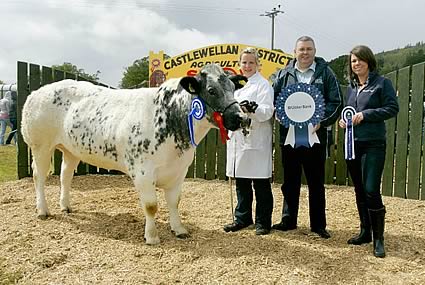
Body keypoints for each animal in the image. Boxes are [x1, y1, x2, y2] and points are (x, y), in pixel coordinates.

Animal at [21, 64, 248, 244]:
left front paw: (179, 229)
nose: (241, 118)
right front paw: (152, 236)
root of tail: (36, 92)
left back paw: (66, 206)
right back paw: (43, 210)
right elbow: (151, 206)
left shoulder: (179, 171)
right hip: (40, 146)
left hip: (71, 149)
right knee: (39, 177)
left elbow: (174, 201)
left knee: (65, 175)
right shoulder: (142, 171)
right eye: (211, 90)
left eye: (233, 89)